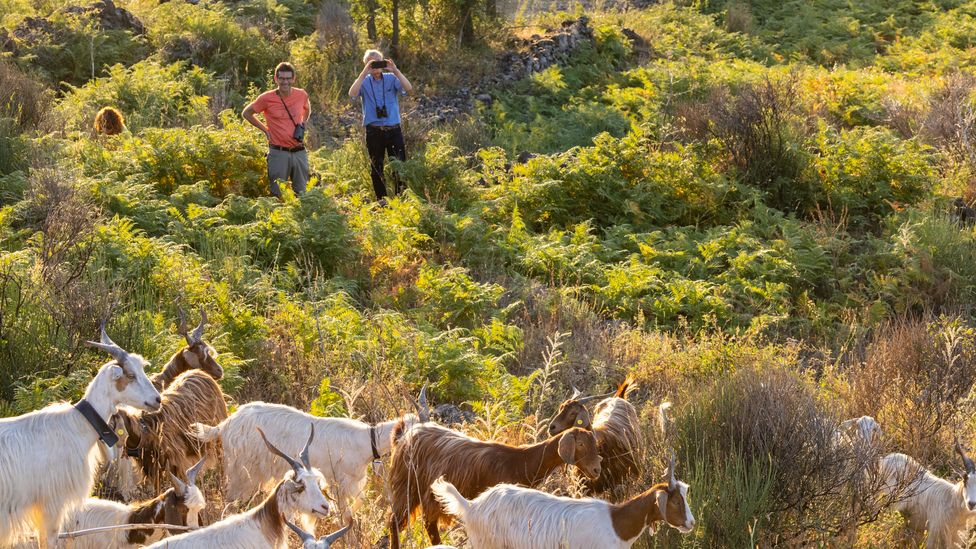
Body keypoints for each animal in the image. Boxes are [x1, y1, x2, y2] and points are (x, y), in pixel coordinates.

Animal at [193, 384, 428, 520]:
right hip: (241, 471)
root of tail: (224, 425)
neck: (365, 441)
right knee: (231, 500)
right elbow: (350, 511)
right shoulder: (342, 482)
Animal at [388, 420, 604, 544]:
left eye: (595, 444)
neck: (520, 461)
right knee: (395, 522)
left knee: (427, 524)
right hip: (406, 485)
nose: (596, 470)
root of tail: (404, 434)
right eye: (581, 444)